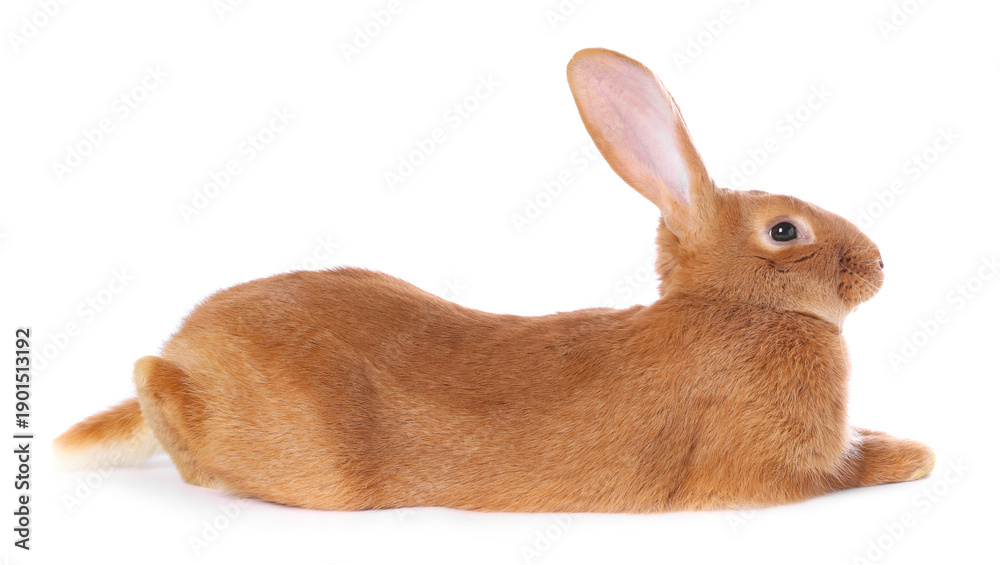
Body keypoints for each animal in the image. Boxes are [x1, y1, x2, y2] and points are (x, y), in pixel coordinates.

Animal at [54, 47, 934, 512]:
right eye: (786, 231)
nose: (880, 265)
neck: (730, 307)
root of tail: (190, 342)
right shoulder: (768, 468)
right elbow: (845, 469)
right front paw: (918, 456)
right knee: (151, 379)